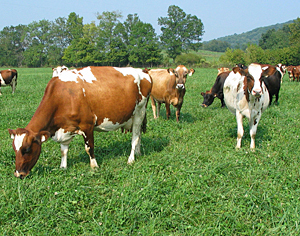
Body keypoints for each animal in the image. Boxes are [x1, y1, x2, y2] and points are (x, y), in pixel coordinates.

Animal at [7, 65, 152, 178]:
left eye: (27, 149)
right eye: (14, 149)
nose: (18, 174)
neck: (63, 96)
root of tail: (143, 71)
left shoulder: (87, 126)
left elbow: (89, 148)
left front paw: (94, 167)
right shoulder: (65, 128)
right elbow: (63, 150)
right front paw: (63, 167)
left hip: (139, 112)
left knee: (135, 137)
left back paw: (131, 159)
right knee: (139, 134)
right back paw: (138, 153)